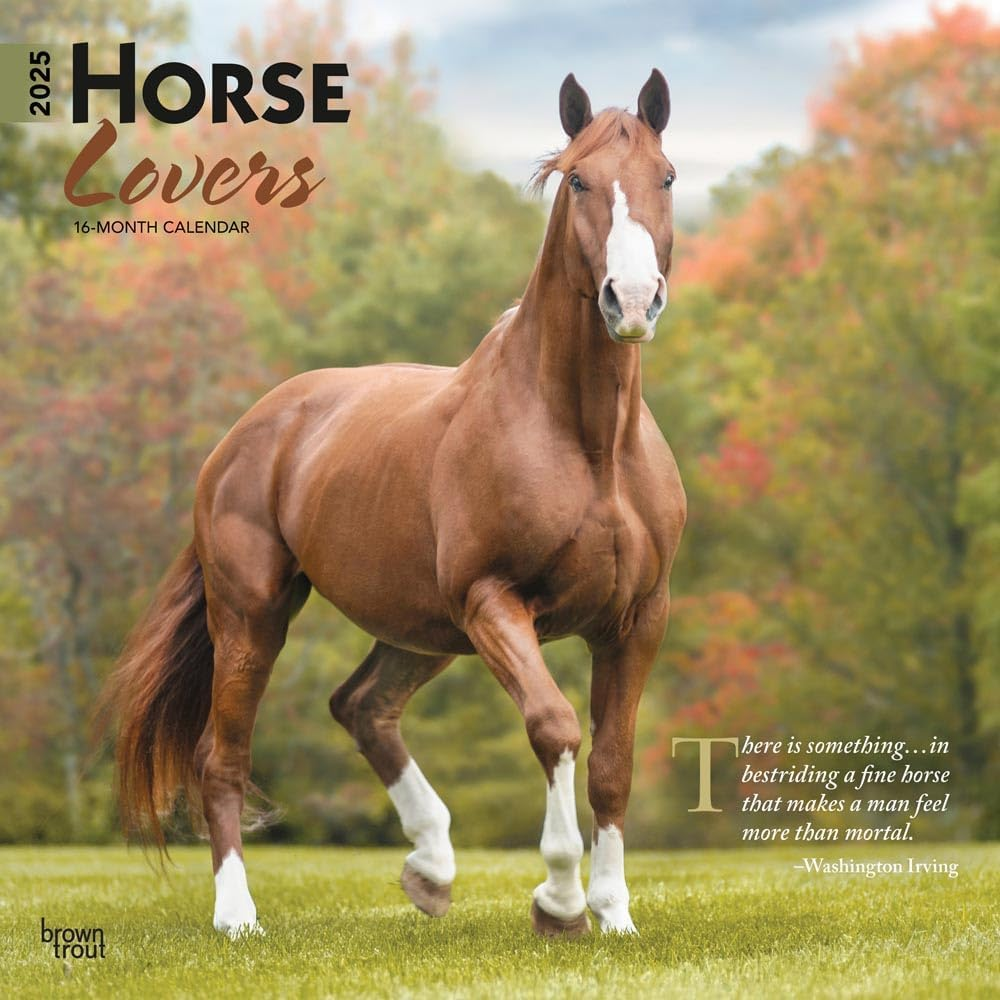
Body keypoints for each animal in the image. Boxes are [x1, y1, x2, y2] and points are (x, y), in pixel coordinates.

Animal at [102, 69, 685, 939]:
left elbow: (612, 762)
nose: (634, 300)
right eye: (579, 179)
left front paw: (613, 914)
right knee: (222, 757)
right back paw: (238, 915)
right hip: (256, 617)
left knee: (362, 706)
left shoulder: (636, 617)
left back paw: (432, 868)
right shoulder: (494, 601)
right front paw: (558, 900)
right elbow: (553, 727)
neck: (588, 444)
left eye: (667, 177)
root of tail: (243, 435)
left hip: (422, 627)